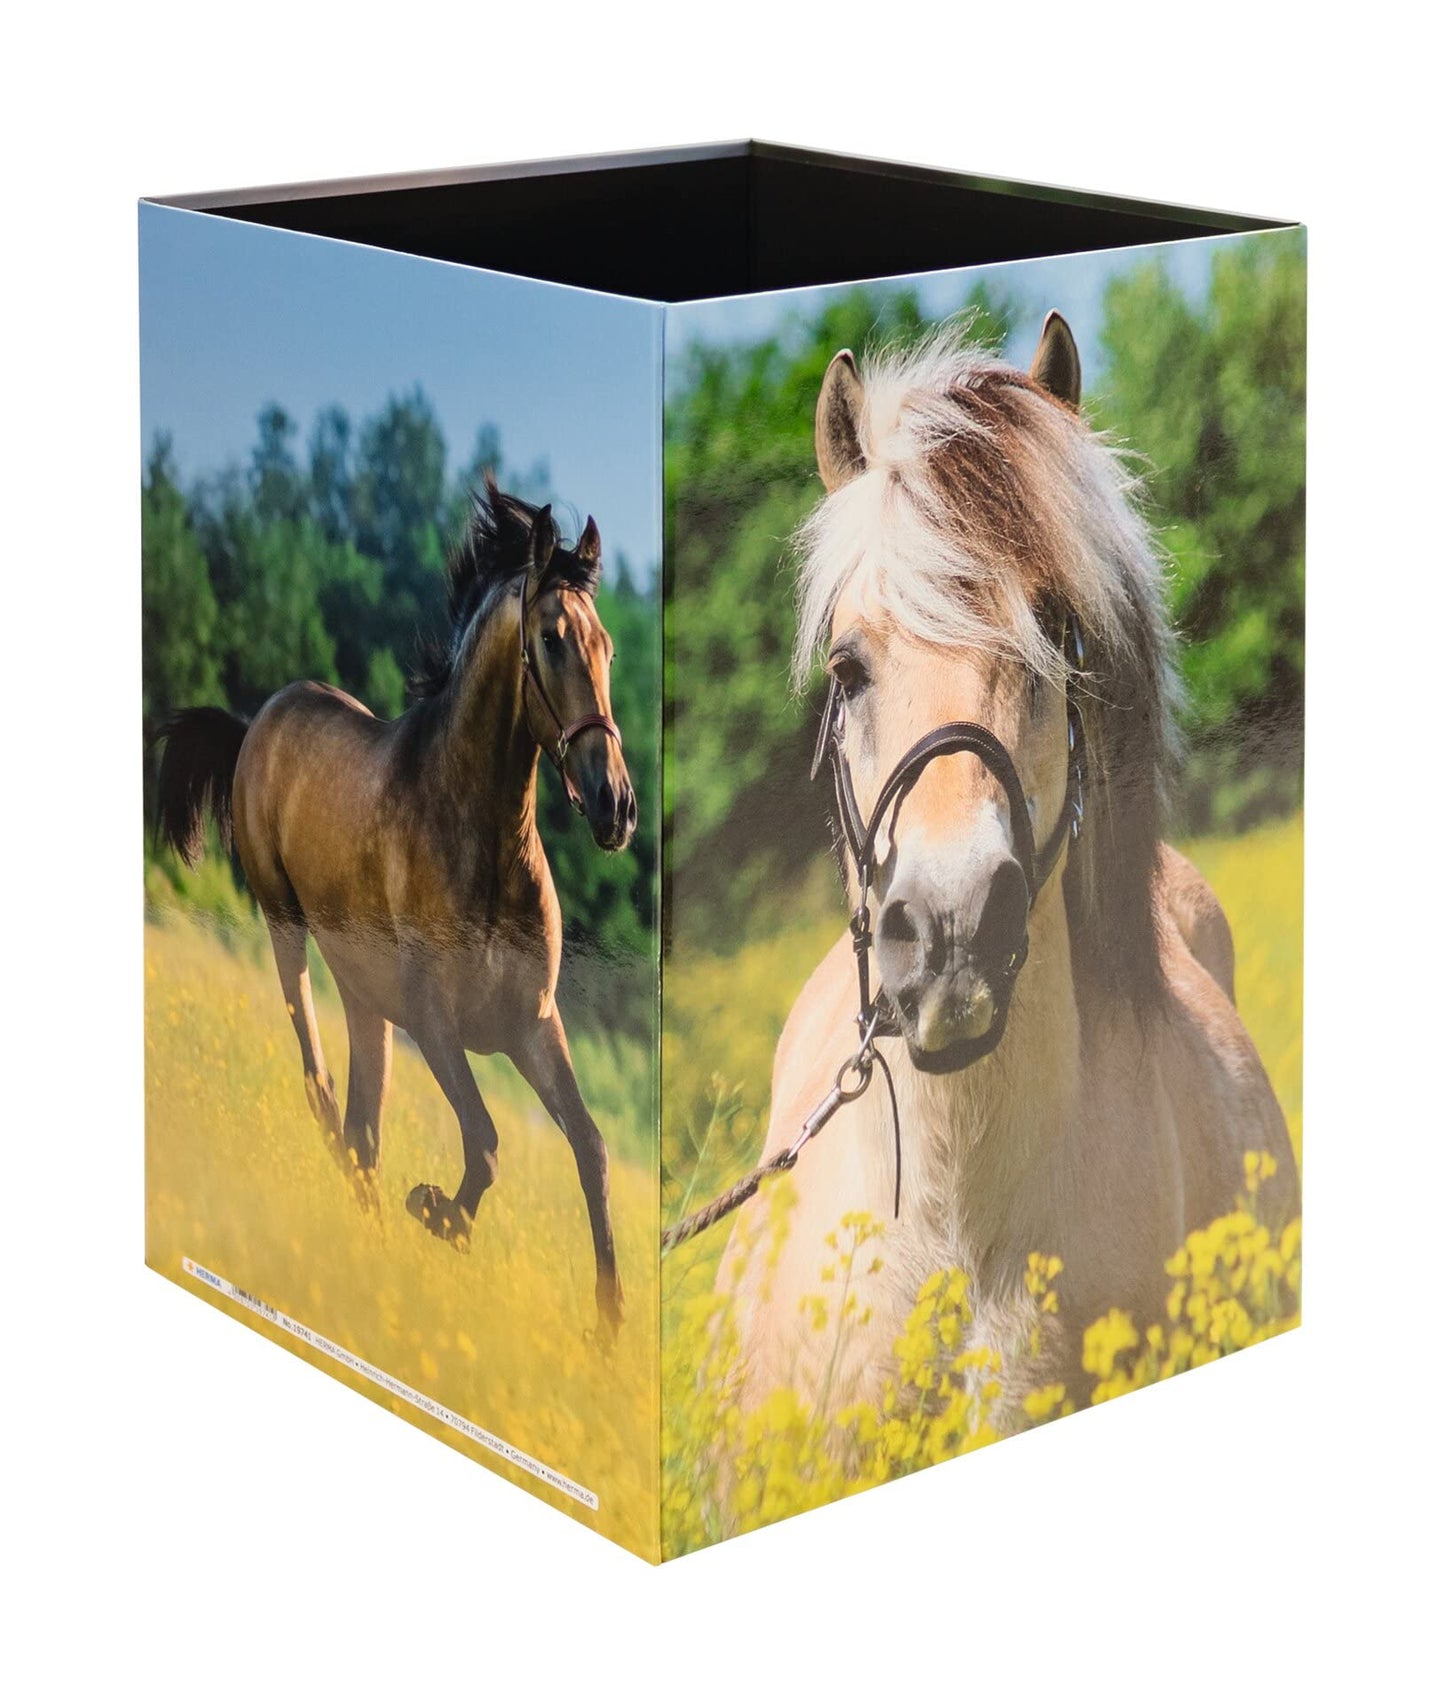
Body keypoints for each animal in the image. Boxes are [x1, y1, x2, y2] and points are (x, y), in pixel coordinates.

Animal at [155, 481, 636, 1339]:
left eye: (607, 646)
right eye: (551, 639)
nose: (616, 807)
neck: (481, 836)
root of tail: (256, 721)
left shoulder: (531, 1024)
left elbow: (590, 1147)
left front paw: (609, 1327)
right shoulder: (434, 1018)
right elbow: (485, 1142)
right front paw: (437, 1212)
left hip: (365, 1000)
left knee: (362, 1129)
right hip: (286, 925)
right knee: (319, 1085)